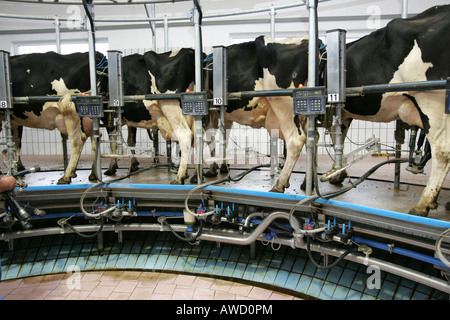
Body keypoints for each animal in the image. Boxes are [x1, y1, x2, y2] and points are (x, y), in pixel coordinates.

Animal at [7, 51, 107, 184]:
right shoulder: (15, 121)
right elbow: (16, 143)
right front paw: (19, 169)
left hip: (70, 109)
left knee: (78, 139)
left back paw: (67, 175)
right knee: (95, 137)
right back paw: (93, 174)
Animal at [324, 5, 450, 216]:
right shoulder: (343, 114)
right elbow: (337, 139)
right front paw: (337, 173)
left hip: (431, 100)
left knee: (442, 152)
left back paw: (423, 205)